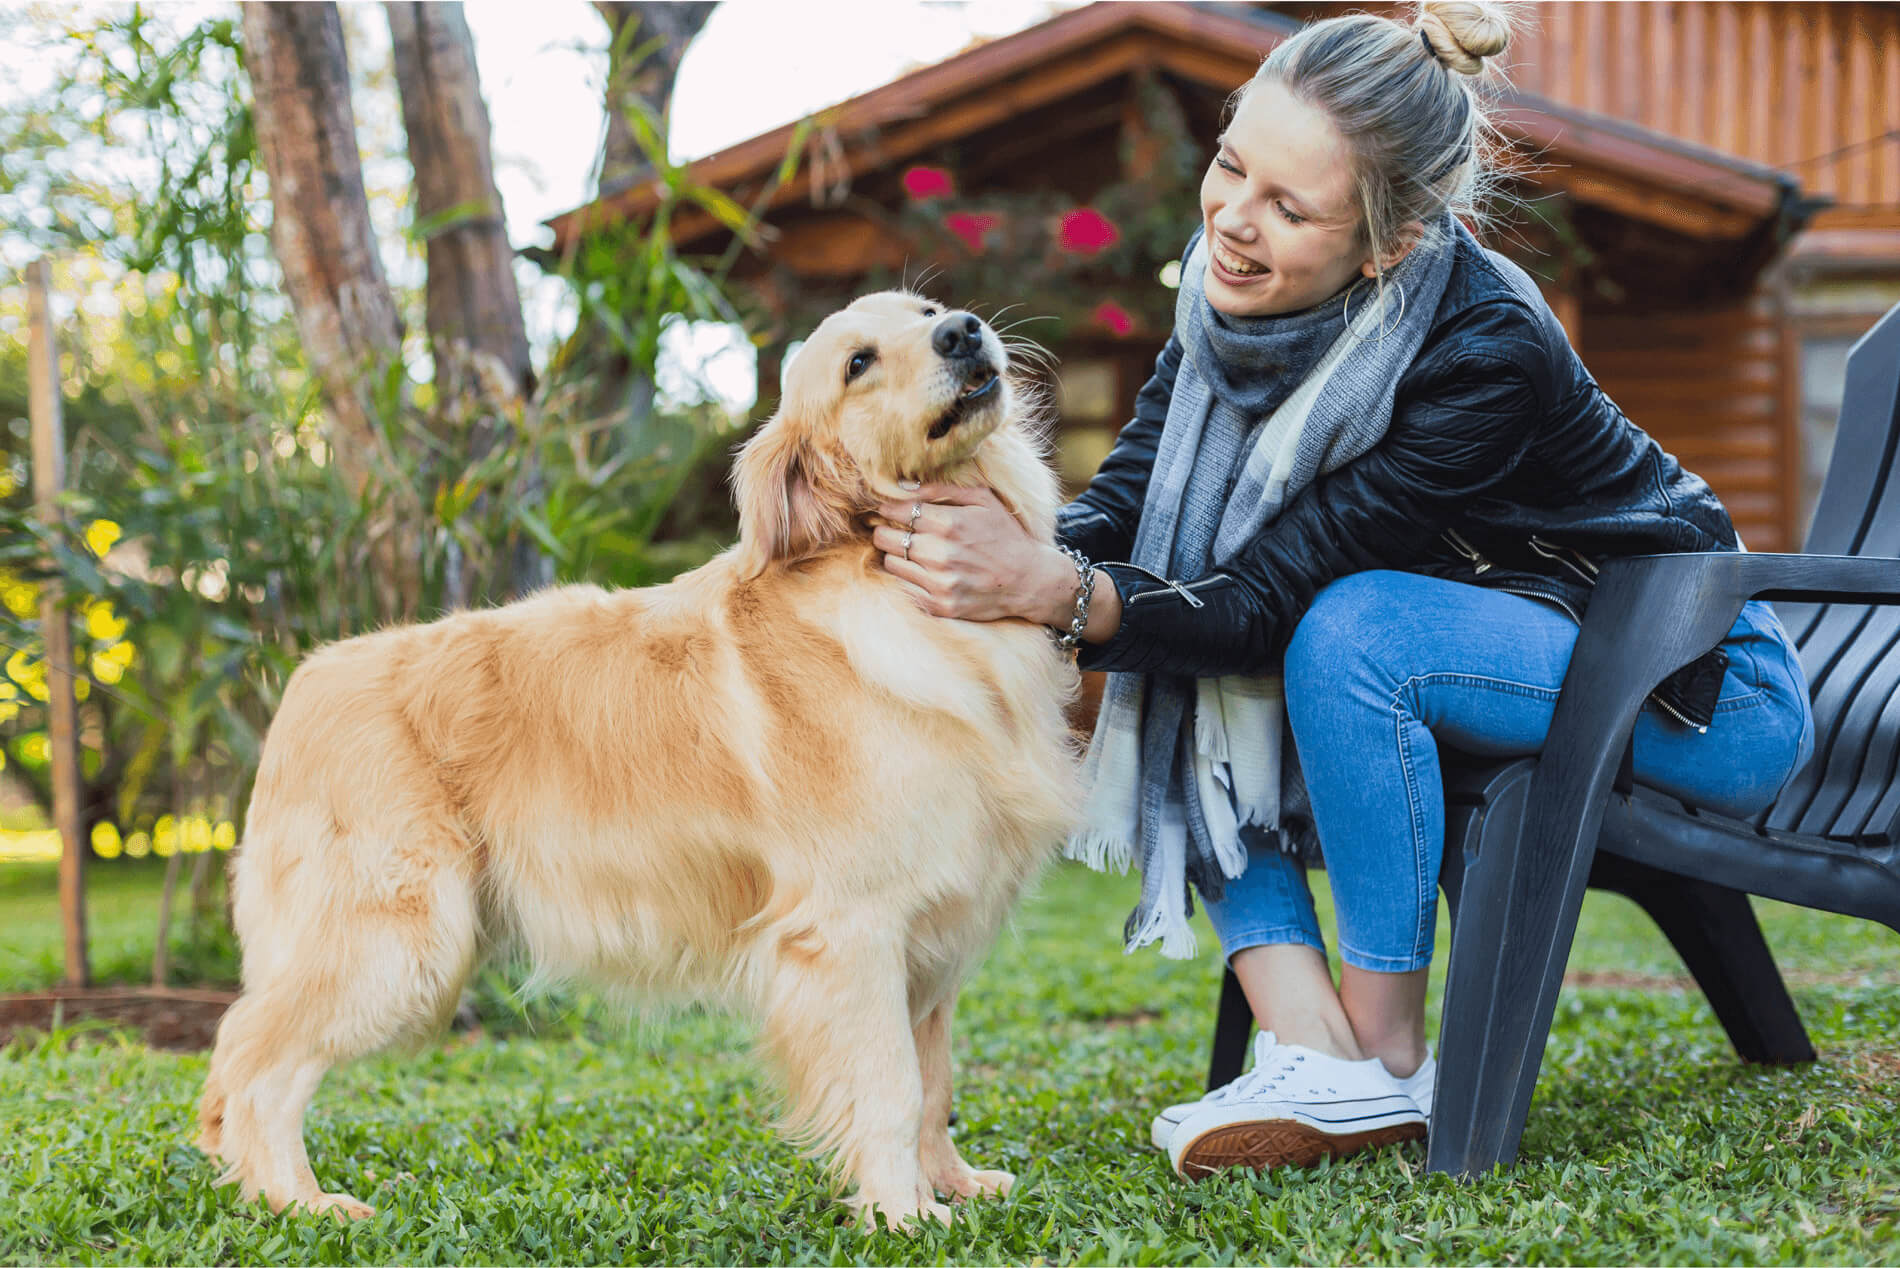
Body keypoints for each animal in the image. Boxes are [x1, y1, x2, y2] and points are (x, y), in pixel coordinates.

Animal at [196, 292, 1086, 1224]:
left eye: (924, 310)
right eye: (858, 364)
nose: (962, 330)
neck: (883, 575)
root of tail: (305, 680)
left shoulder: (934, 938)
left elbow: (936, 1083)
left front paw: (952, 1182)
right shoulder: (854, 927)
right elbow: (891, 1090)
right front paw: (903, 1215)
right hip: (398, 944)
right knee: (250, 1060)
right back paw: (299, 1201)